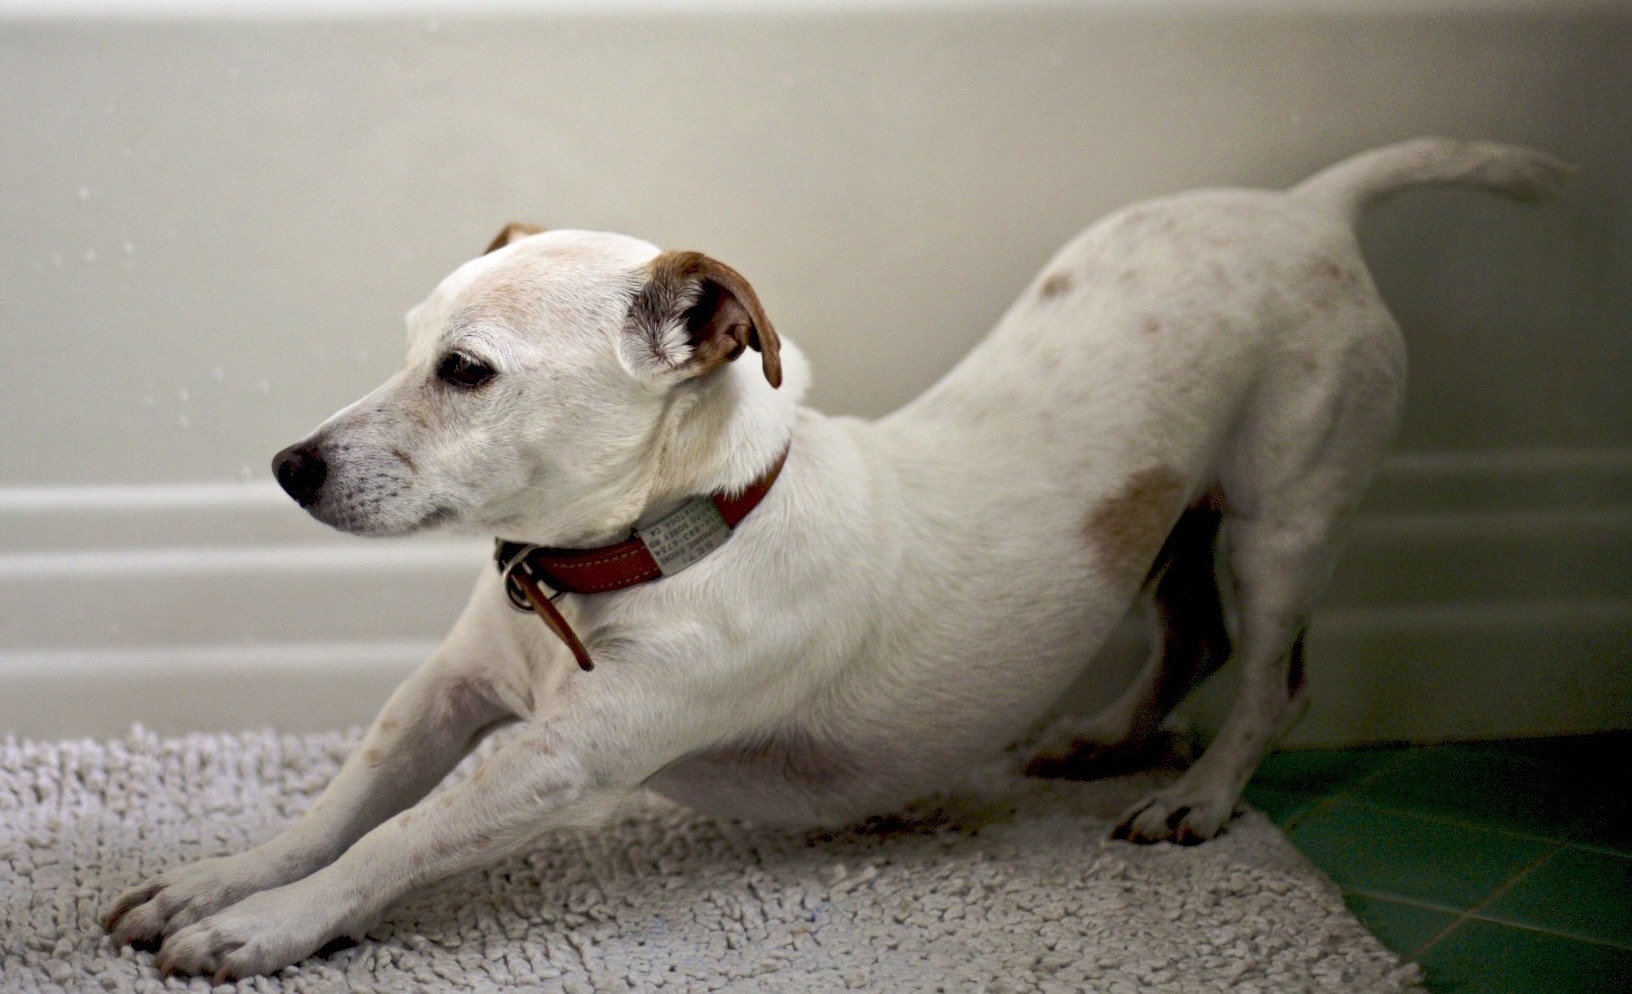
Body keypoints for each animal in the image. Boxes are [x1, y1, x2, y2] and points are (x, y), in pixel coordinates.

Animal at [105, 139, 1566, 979]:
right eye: (408, 340)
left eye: (466, 373)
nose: (289, 464)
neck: (641, 551)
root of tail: (1312, 209)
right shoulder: (448, 693)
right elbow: (342, 804)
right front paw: (223, 877)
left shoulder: (560, 760)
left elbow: (400, 837)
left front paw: (266, 928)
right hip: (1171, 523)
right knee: (1187, 638)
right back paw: (1105, 739)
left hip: (1280, 524)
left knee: (1271, 677)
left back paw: (1196, 798)